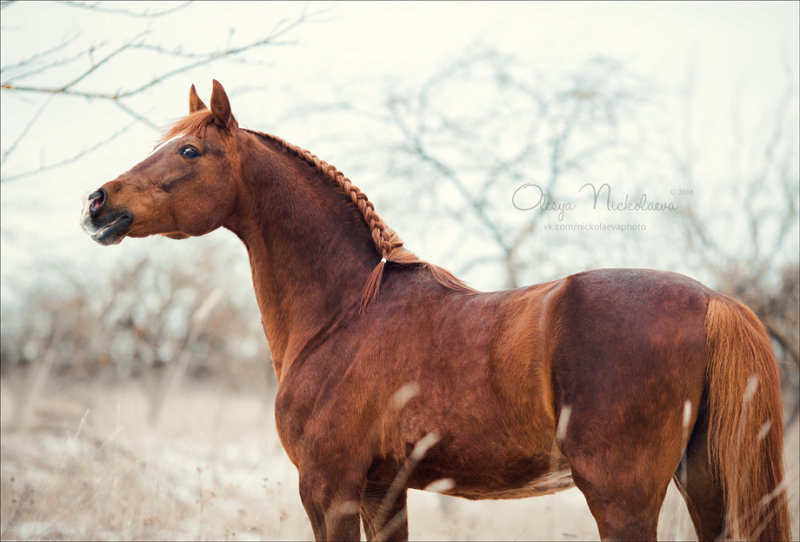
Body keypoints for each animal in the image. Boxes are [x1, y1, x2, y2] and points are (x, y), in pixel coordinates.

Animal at [78, 82, 792, 542]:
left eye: (189, 152)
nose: (96, 202)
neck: (345, 312)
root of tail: (712, 301)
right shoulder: (382, 494)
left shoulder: (328, 492)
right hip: (702, 483)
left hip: (622, 498)